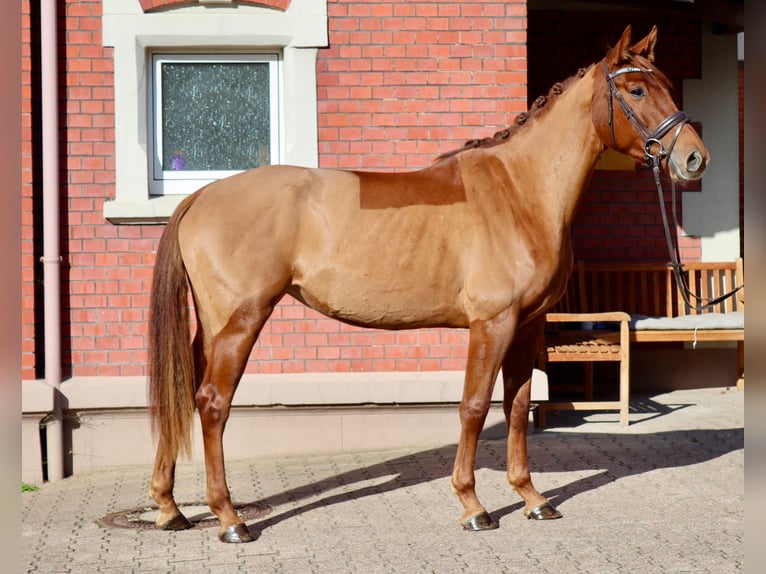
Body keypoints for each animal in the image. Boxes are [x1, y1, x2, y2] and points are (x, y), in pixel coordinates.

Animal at [147, 25, 712, 544]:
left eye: (666, 84)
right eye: (635, 90)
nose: (693, 159)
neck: (521, 192)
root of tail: (201, 195)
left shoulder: (528, 326)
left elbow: (518, 406)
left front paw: (531, 498)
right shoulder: (492, 324)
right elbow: (474, 407)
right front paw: (473, 506)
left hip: (213, 328)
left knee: (182, 392)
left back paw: (170, 508)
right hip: (240, 321)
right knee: (212, 403)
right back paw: (230, 518)